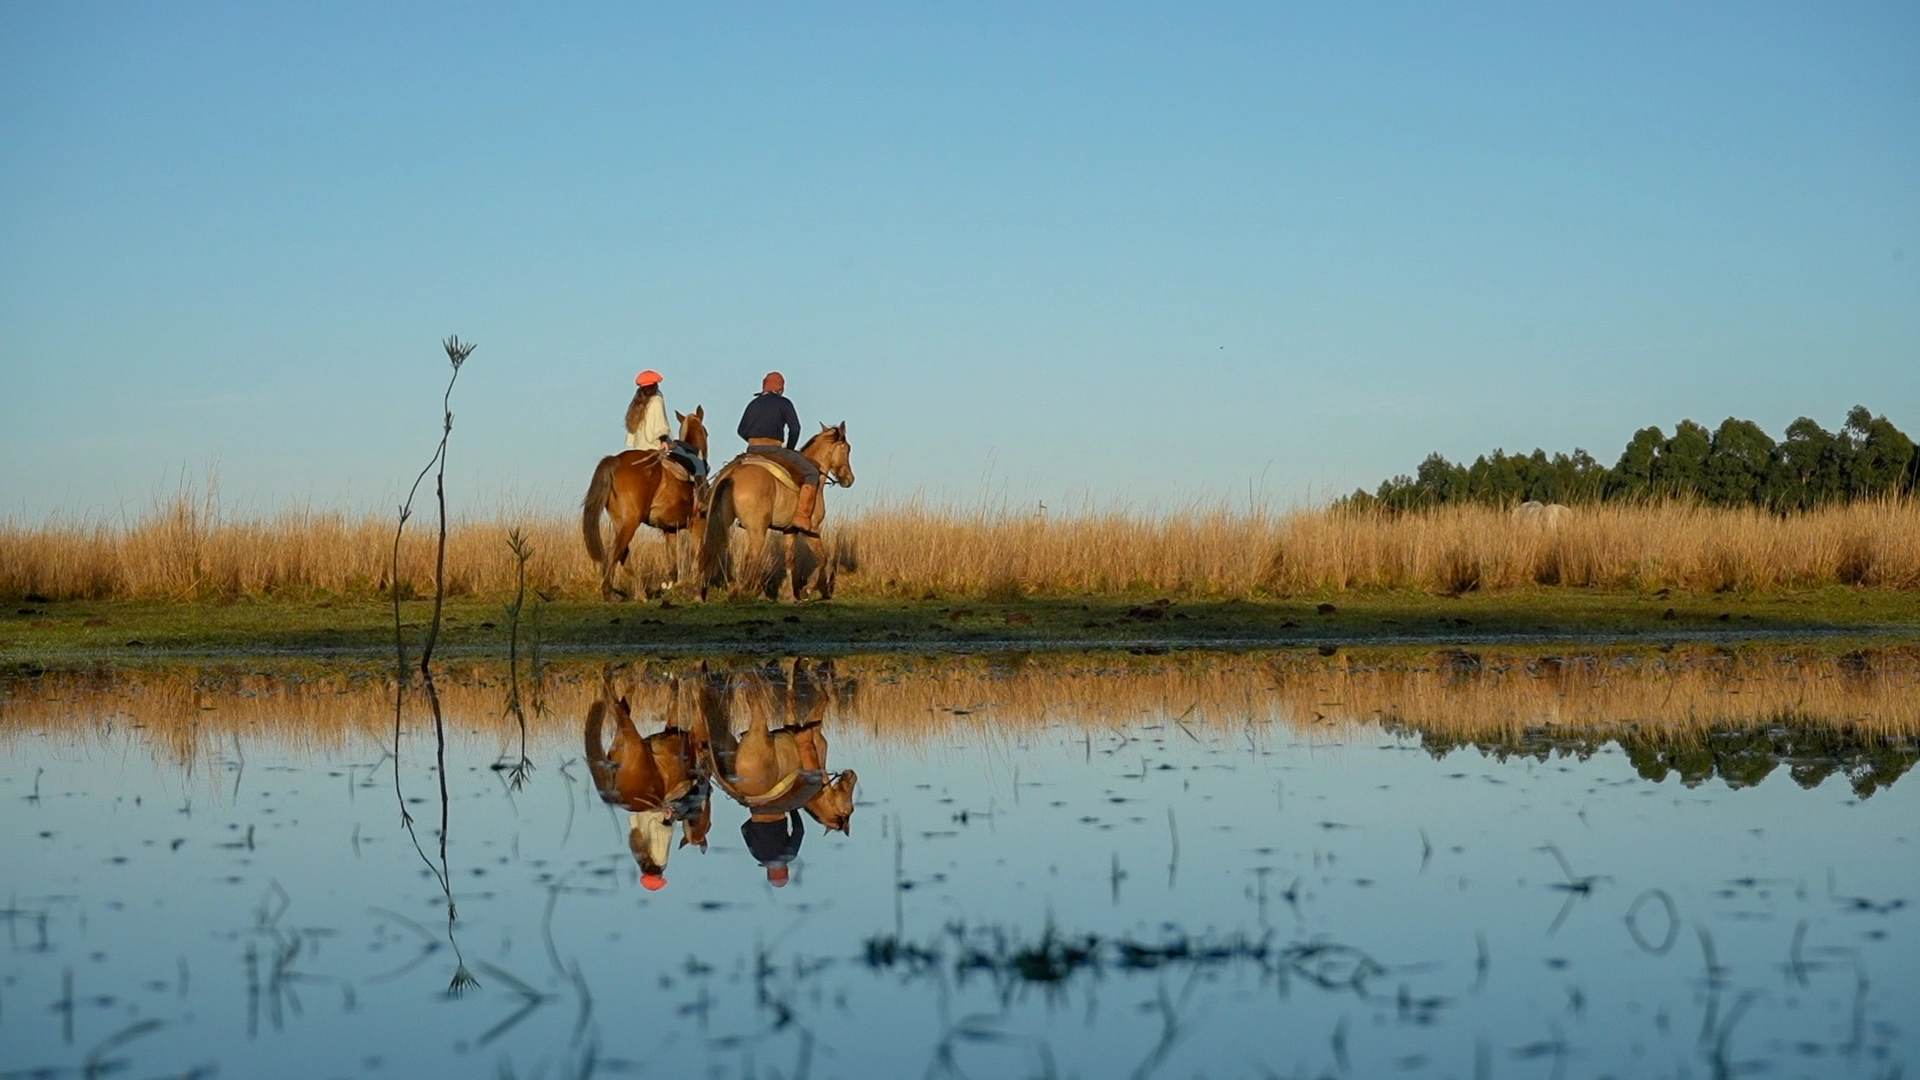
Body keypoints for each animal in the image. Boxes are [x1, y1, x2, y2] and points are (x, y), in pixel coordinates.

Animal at [581, 407, 709, 600]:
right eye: (706, 432)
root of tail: (616, 460)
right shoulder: (698, 525)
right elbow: (697, 557)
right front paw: (697, 593)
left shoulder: (670, 529)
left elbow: (672, 559)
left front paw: (670, 585)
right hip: (631, 522)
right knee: (615, 551)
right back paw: (610, 592)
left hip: (621, 522)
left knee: (623, 554)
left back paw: (640, 593)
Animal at [699, 423, 854, 601]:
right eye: (846, 449)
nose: (849, 479)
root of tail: (733, 472)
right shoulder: (812, 529)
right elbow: (822, 558)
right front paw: (807, 589)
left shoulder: (789, 530)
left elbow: (789, 561)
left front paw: (790, 595)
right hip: (757, 531)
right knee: (752, 557)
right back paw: (745, 592)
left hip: (723, 523)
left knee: (716, 550)